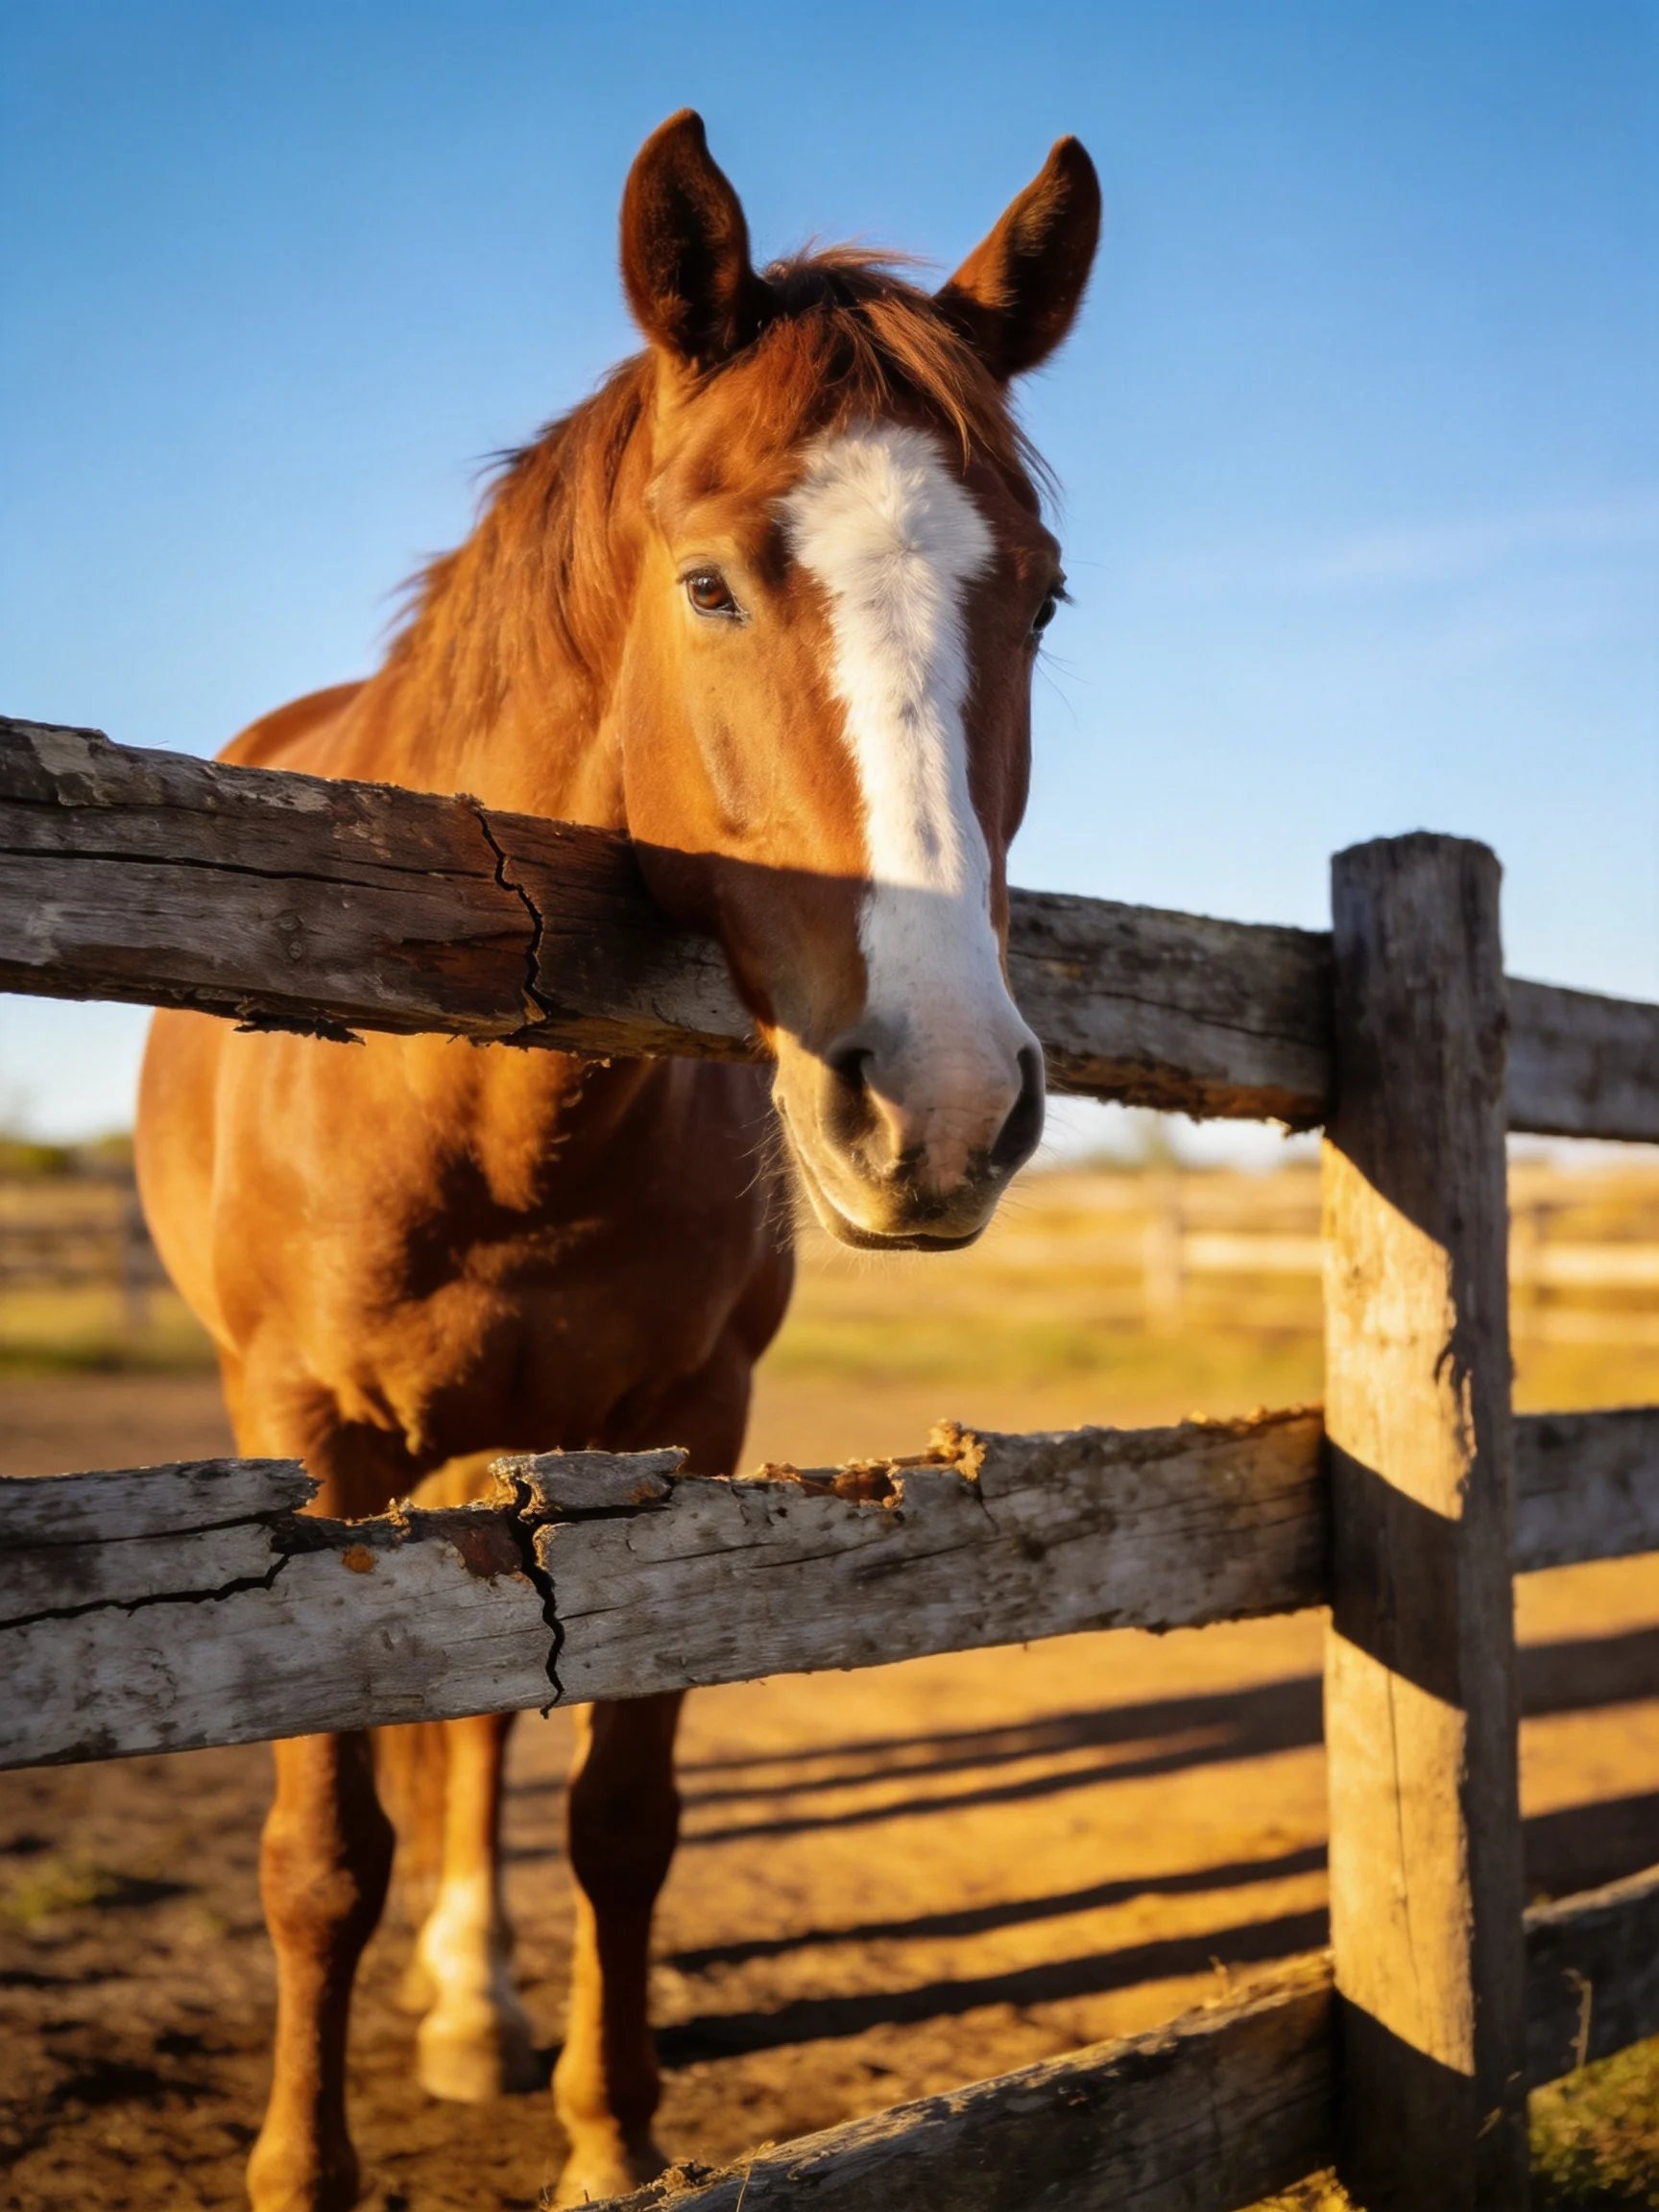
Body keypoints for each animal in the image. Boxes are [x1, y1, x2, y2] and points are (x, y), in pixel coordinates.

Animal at [134, 109, 1099, 2211]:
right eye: (712, 585)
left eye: (1044, 598)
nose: (944, 1100)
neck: (487, 1129)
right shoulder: (295, 1439)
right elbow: (320, 1849)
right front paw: (301, 2164)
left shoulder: (686, 1429)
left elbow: (618, 1806)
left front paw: (609, 2133)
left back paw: (478, 2001)